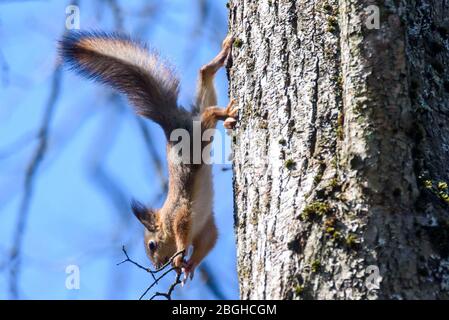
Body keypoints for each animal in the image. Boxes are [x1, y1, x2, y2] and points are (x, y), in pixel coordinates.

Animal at [58, 30, 238, 280]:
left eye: (152, 245)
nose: (157, 267)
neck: (166, 219)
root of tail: (172, 124)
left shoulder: (181, 214)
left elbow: (183, 235)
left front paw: (179, 258)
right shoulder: (206, 228)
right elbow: (208, 243)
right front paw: (188, 267)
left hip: (197, 132)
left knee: (209, 113)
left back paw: (226, 111)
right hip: (201, 116)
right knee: (204, 78)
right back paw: (220, 61)